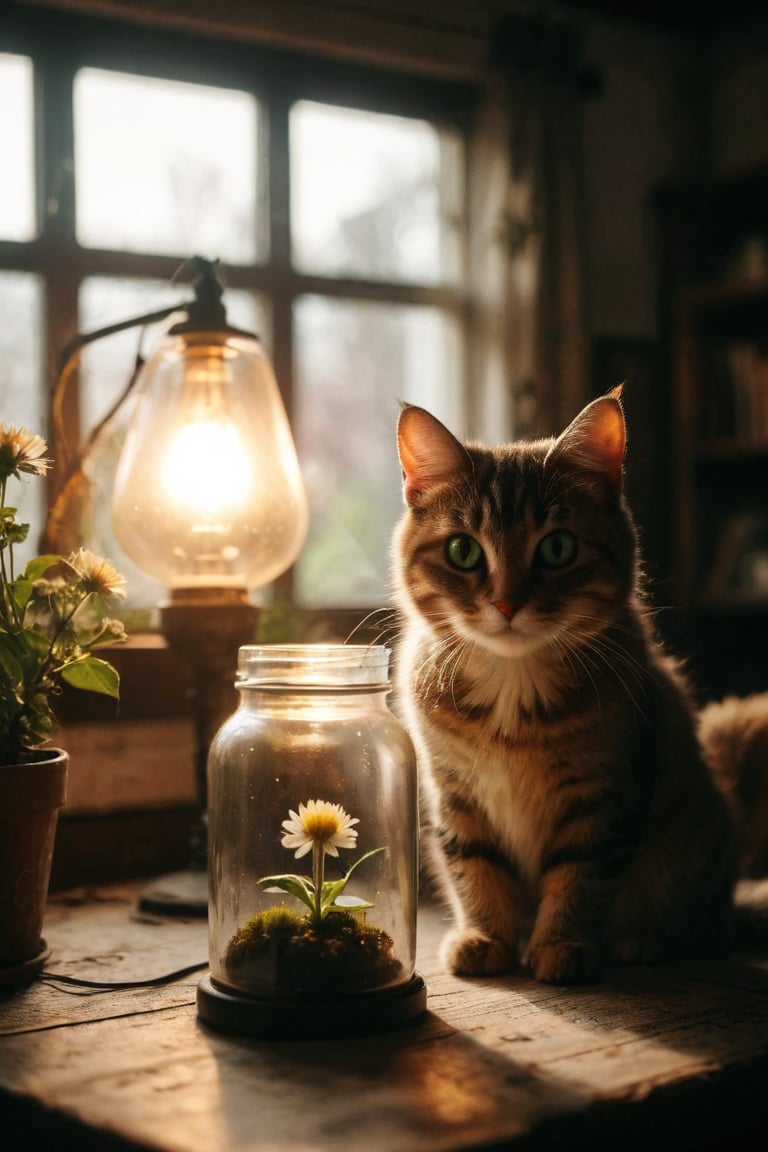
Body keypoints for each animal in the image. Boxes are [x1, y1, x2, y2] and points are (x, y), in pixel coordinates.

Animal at [393, 387, 755, 981]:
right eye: (463, 551)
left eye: (557, 548)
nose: (508, 603)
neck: (512, 686)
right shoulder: (456, 795)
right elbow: (475, 870)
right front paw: (485, 937)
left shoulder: (603, 796)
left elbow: (579, 879)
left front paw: (561, 946)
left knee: (706, 924)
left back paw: (645, 938)